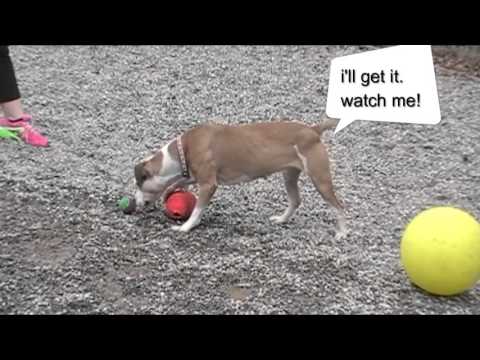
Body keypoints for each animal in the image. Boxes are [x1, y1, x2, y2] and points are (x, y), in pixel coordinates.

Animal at [133, 116, 346, 238]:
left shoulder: (209, 184)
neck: (182, 150)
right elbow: (177, 183)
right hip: (289, 175)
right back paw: (281, 219)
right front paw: (171, 194)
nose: (134, 203)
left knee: (339, 206)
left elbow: (197, 208)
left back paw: (341, 233)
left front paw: (186, 227)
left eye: (138, 184)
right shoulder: (194, 176)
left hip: (320, 179)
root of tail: (313, 130)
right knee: (296, 200)